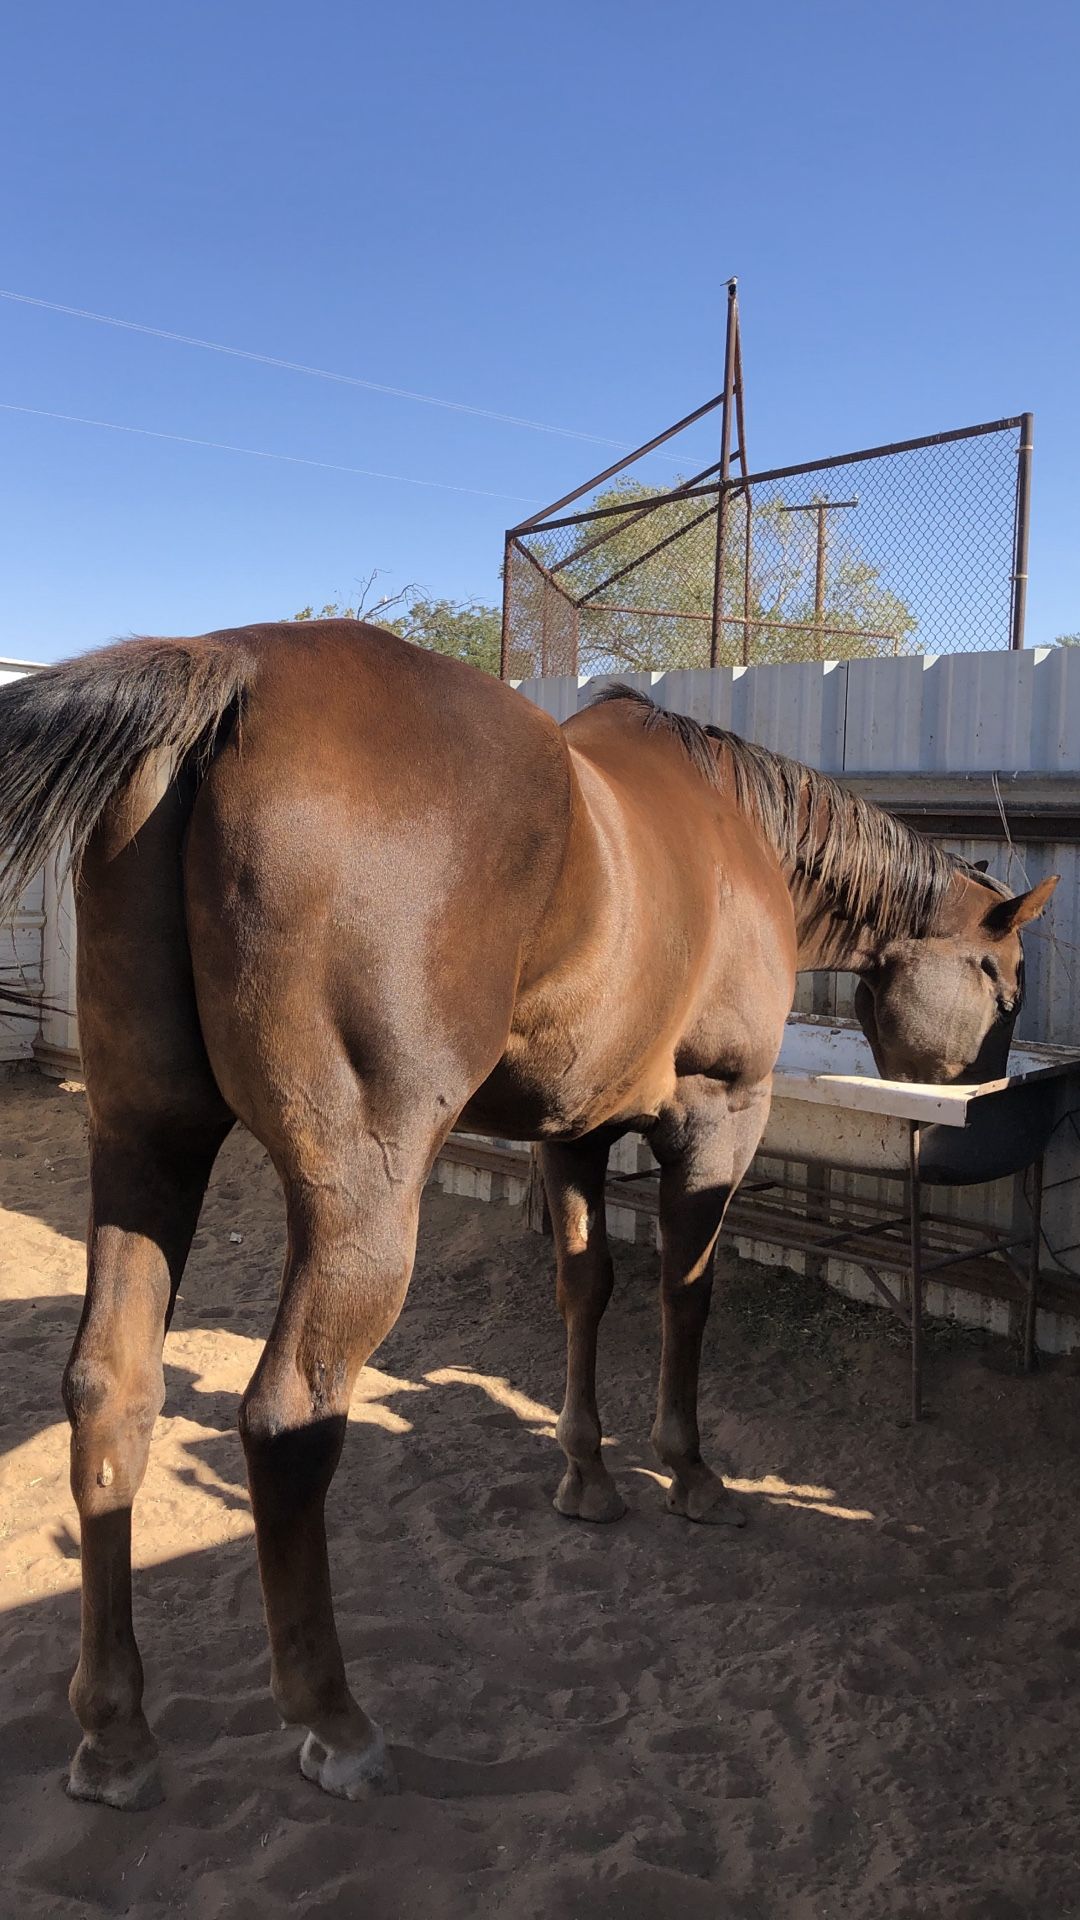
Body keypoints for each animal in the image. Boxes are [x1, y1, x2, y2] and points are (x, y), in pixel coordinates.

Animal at [0, 619, 1056, 1811]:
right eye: (1005, 977)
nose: (991, 1080)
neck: (744, 842)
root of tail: (232, 668)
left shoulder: (574, 1131)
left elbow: (586, 1292)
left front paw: (587, 1476)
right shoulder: (719, 1115)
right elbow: (686, 1297)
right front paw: (690, 1471)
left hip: (147, 1142)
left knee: (110, 1392)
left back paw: (116, 1731)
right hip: (358, 1200)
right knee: (286, 1418)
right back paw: (333, 1716)